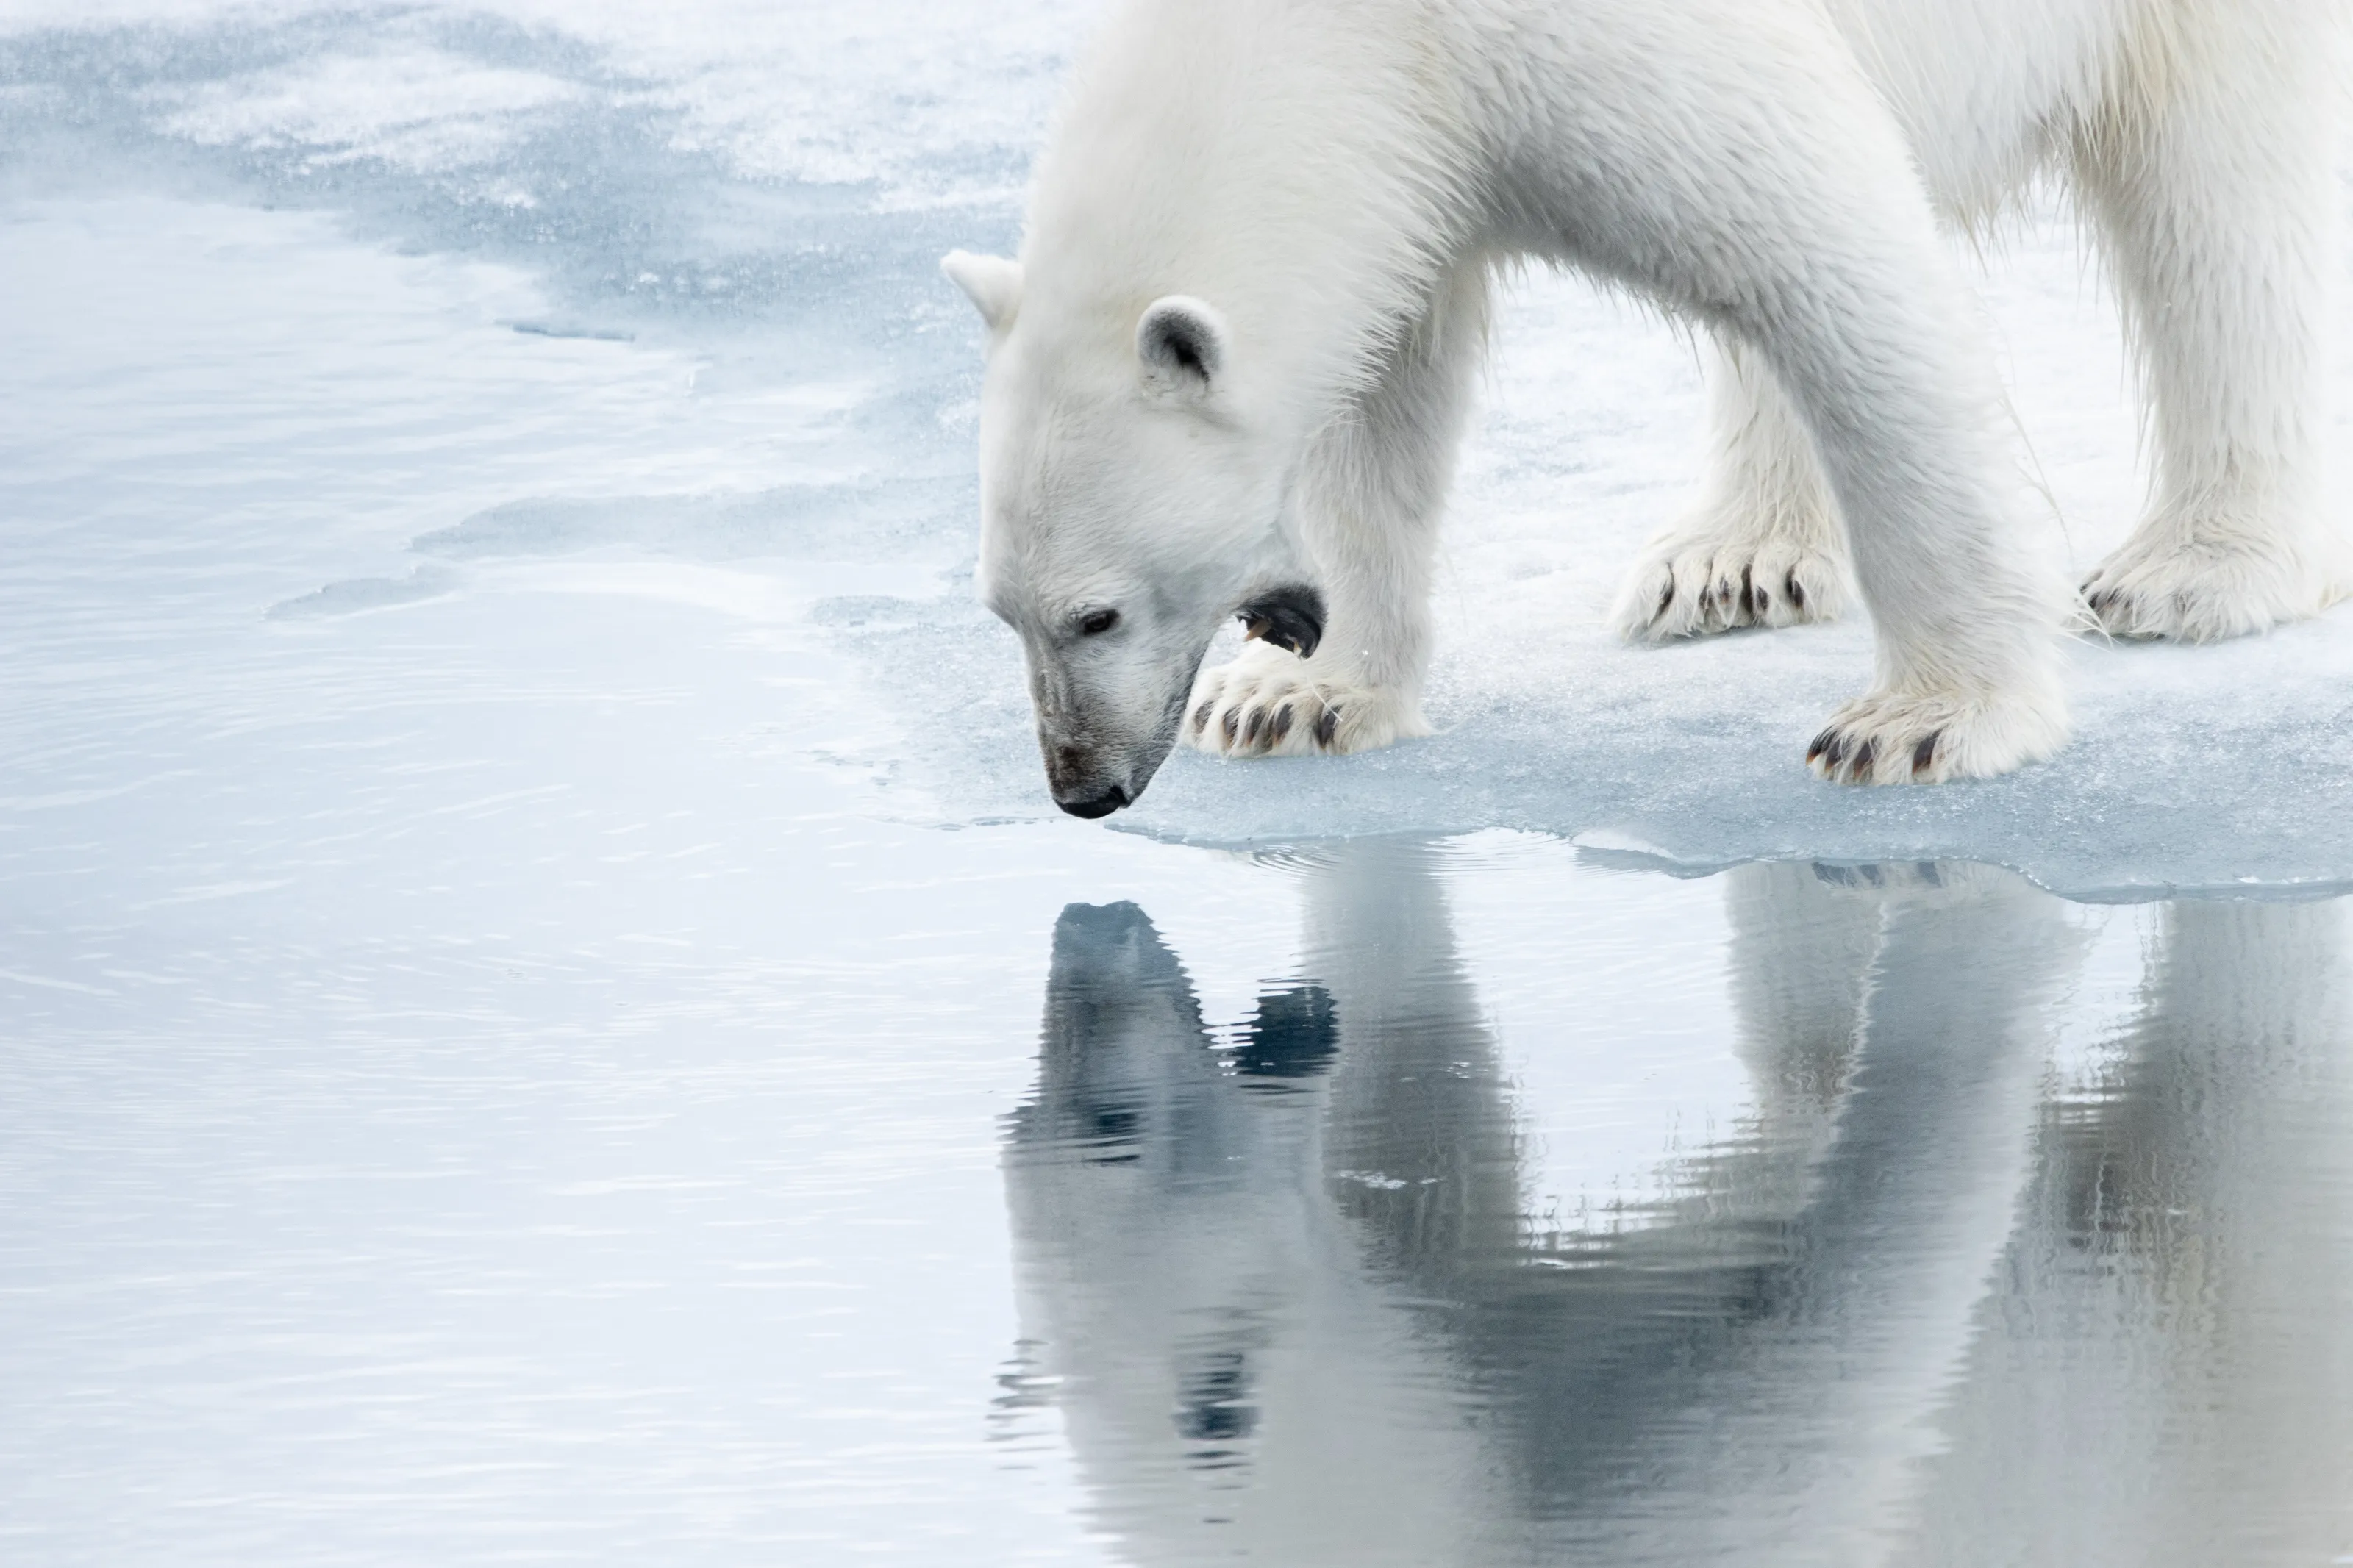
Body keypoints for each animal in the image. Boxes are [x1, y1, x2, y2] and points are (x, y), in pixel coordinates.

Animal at [945, 0, 2346, 818]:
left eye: (1096, 611)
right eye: (1002, 612)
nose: (1082, 786)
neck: (1356, 38)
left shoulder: (1579, 43)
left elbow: (1838, 256)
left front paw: (1921, 724)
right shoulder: (1415, 144)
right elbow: (1381, 391)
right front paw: (1293, 697)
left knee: (2223, 201)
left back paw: (2199, 570)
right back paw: (1733, 561)